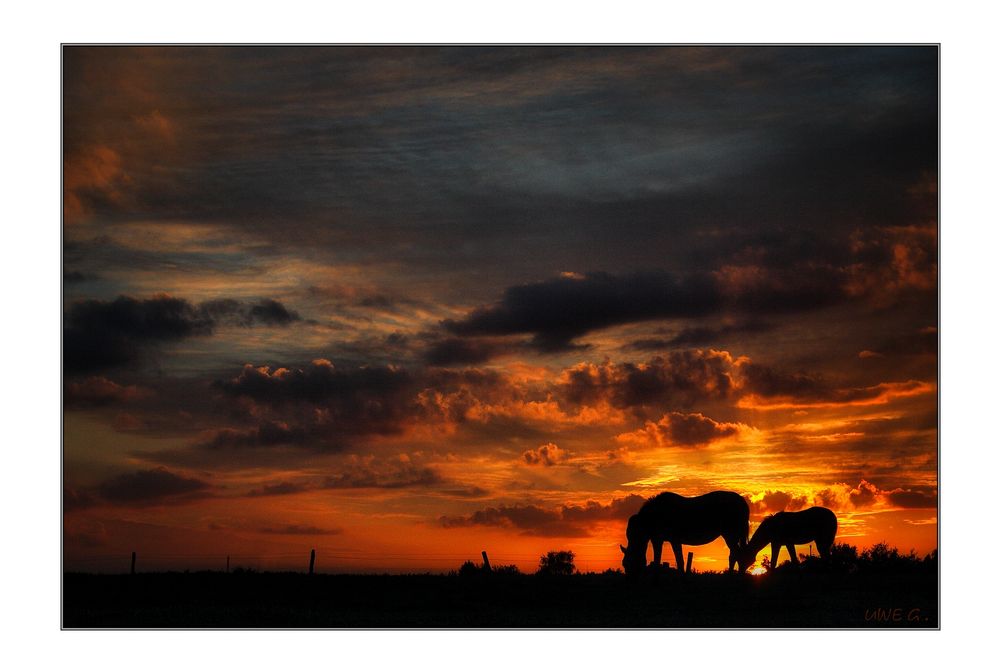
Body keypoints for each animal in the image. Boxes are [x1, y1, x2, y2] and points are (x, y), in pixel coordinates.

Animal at [616, 490, 752, 576]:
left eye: (628, 564)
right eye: (624, 564)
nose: (631, 578)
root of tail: (742, 501)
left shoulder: (672, 540)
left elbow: (676, 560)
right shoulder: (658, 540)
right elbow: (663, 559)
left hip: (730, 535)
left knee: (737, 554)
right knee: (736, 554)